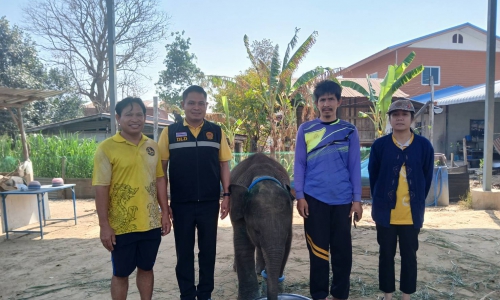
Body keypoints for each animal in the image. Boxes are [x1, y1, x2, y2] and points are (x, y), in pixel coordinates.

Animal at [229, 154, 294, 300]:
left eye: (286, 233)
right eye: (256, 231)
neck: (262, 176)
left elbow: (286, 246)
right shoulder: (241, 214)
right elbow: (243, 246)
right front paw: (250, 297)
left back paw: (259, 270)